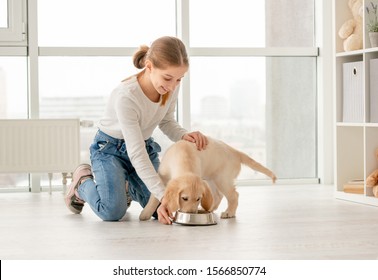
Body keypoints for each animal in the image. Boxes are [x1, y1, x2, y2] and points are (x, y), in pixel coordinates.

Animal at [140, 138, 276, 221]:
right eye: (184, 198)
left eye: (198, 199)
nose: (191, 213)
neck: (184, 157)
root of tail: (235, 152)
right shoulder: (161, 176)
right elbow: (153, 197)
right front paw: (146, 214)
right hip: (212, 178)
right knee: (218, 196)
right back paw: (209, 209)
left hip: (222, 179)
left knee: (233, 195)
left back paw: (229, 212)